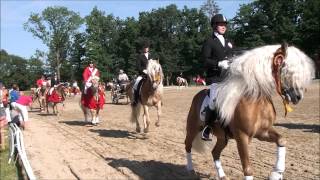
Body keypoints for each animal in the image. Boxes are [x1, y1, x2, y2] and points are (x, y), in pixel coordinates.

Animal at [184, 43, 316, 179]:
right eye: (286, 69)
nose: (298, 96)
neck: (257, 101)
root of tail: (197, 95)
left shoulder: (263, 132)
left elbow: (281, 140)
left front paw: (277, 173)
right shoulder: (242, 137)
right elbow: (247, 169)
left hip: (222, 137)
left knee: (215, 152)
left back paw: (222, 176)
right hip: (193, 128)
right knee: (188, 145)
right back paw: (190, 170)